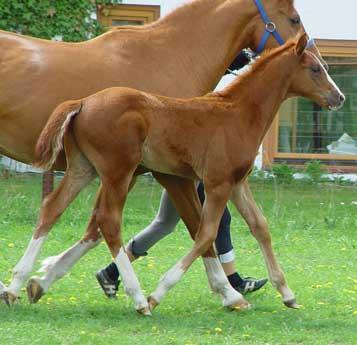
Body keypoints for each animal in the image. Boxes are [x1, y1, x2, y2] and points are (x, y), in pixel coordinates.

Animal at [0, 1, 322, 304]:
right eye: (294, 19)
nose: (316, 55)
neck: (167, 58)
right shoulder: (169, 174)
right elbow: (198, 225)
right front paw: (227, 290)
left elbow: (96, 228)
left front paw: (47, 275)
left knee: (56, 208)